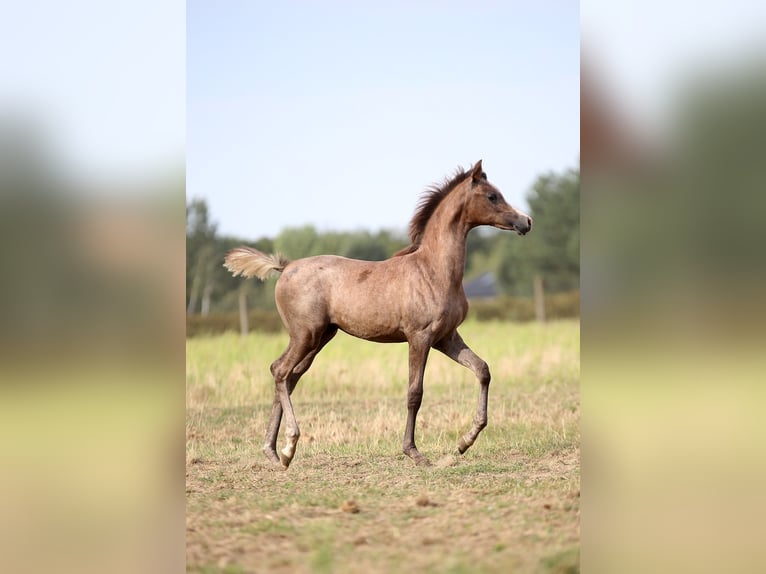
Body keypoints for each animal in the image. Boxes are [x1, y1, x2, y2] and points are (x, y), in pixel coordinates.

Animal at [224, 160, 532, 468]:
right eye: (492, 196)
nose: (526, 221)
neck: (433, 270)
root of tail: (285, 267)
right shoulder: (420, 337)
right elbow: (415, 393)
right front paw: (414, 453)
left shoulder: (446, 337)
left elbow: (482, 370)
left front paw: (465, 442)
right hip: (305, 335)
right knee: (280, 371)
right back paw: (288, 445)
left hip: (320, 337)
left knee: (289, 376)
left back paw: (275, 453)